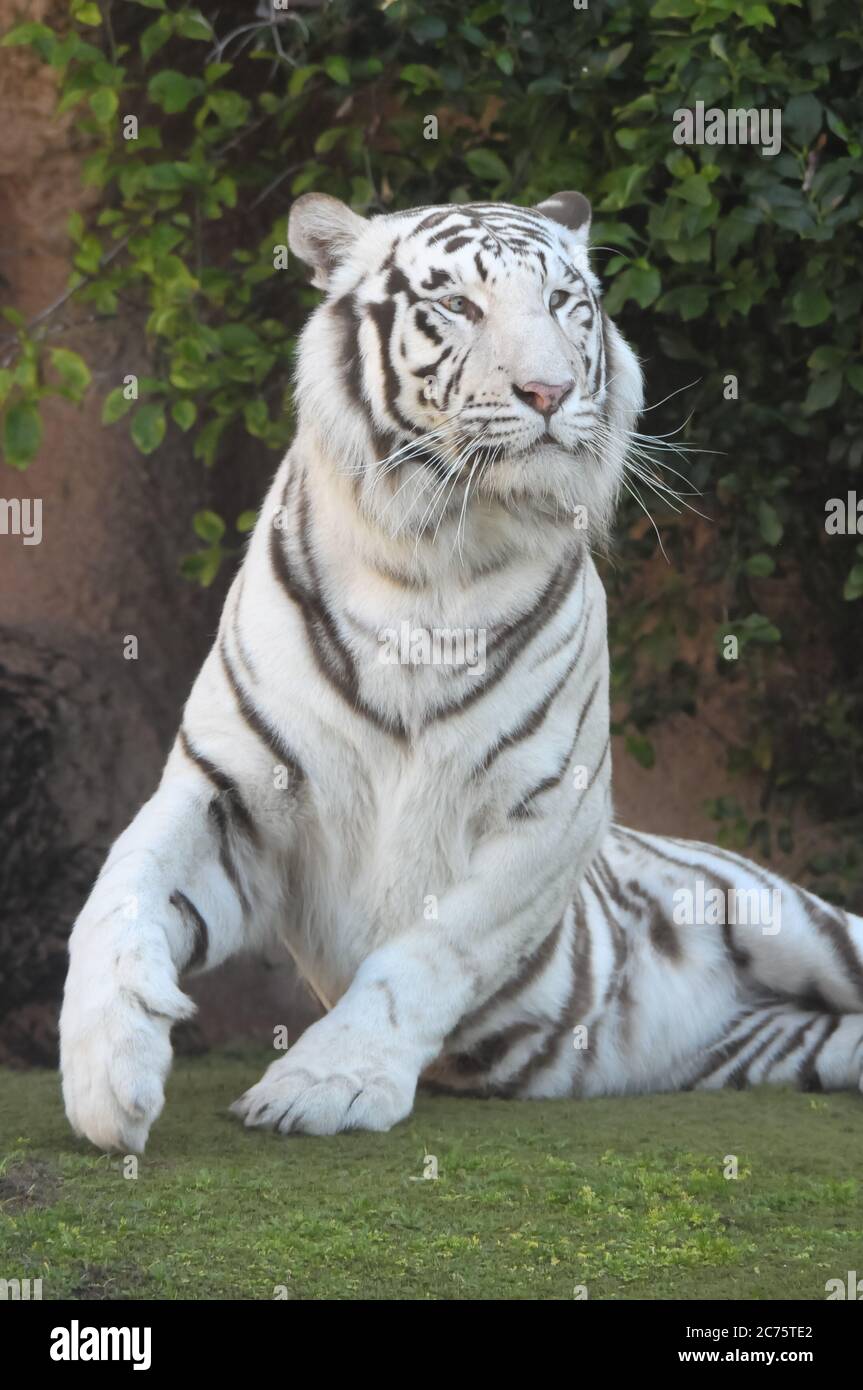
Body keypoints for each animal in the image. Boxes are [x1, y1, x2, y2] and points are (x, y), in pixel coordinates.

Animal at [59, 190, 863, 1153]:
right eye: (457, 306)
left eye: (564, 303)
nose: (549, 392)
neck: (430, 556)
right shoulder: (231, 786)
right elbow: (119, 890)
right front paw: (107, 1076)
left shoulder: (553, 808)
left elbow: (434, 951)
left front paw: (323, 1084)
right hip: (792, 1041)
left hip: (793, 918)